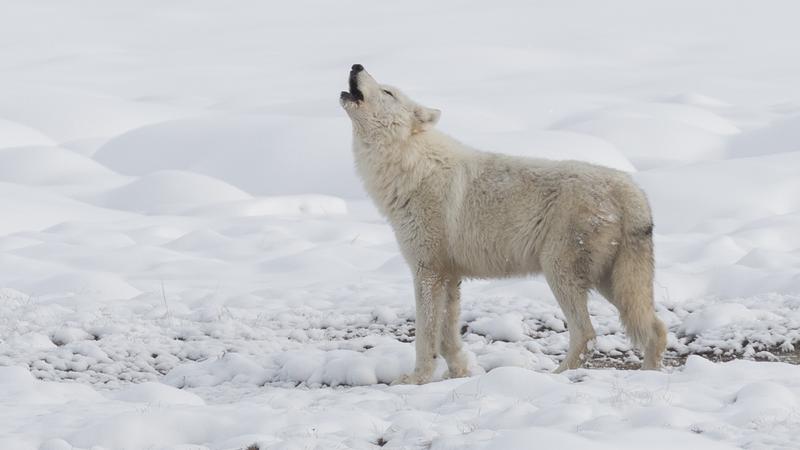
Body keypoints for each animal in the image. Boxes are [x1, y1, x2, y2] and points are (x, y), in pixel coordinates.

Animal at [340, 65, 668, 384]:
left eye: (388, 92)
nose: (356, 65)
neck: (410, 166)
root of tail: (631, 190)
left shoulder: (427, 272)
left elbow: (425, 335)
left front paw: (415, 379)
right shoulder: (449, 275)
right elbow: (447, 337)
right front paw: (458, 373)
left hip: (560, 274)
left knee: (587, 333)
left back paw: (556, 377)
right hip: (609, 283)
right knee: (656, 329)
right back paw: (649, 377)